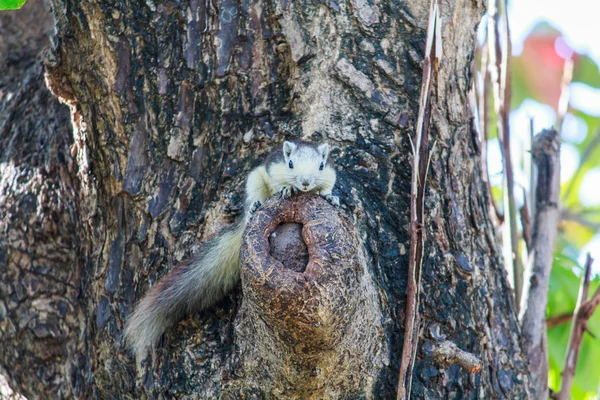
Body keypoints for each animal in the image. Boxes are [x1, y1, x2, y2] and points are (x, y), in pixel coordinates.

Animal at [124, 139, 340, 358]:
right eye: (290, 164)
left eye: (321, 166)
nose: (305, 183)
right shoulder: (273, 168)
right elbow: (280, 183)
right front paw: (287, 188)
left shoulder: (330, 174)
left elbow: (328, 186)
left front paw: (330, 196)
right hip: (254, 181)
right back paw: (254, 206)